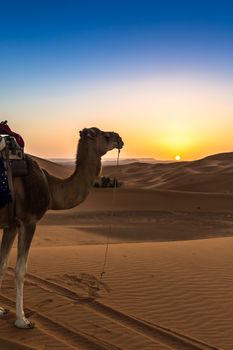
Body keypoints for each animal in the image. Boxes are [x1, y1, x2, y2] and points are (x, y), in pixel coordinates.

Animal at [0, 126, 124, 328]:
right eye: (106, 136)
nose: (120, 139)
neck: (50, 186)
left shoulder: (11, 225)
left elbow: (2, 265)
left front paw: (1, 310)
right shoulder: (29, 221)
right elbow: (20, 270)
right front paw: (22, 320)